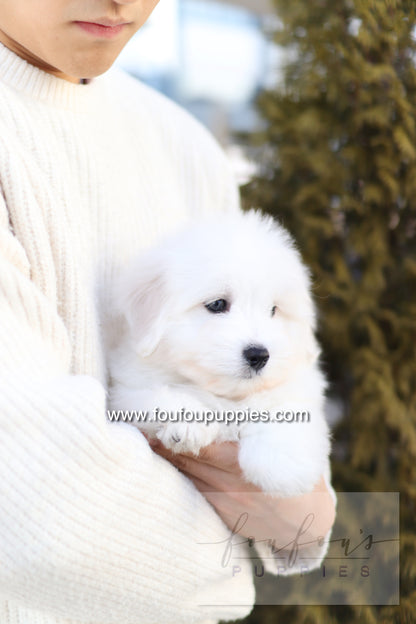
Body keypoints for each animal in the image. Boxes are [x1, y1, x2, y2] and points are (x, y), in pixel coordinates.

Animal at [109, 210, 330, 498]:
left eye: (273, 310)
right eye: (217, 304)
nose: (259, 355)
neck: (227, 398)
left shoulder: (299, 386)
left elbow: (285, 407)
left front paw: (281, 466)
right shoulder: (127, 391)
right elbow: (157, 395)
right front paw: (189, 423)